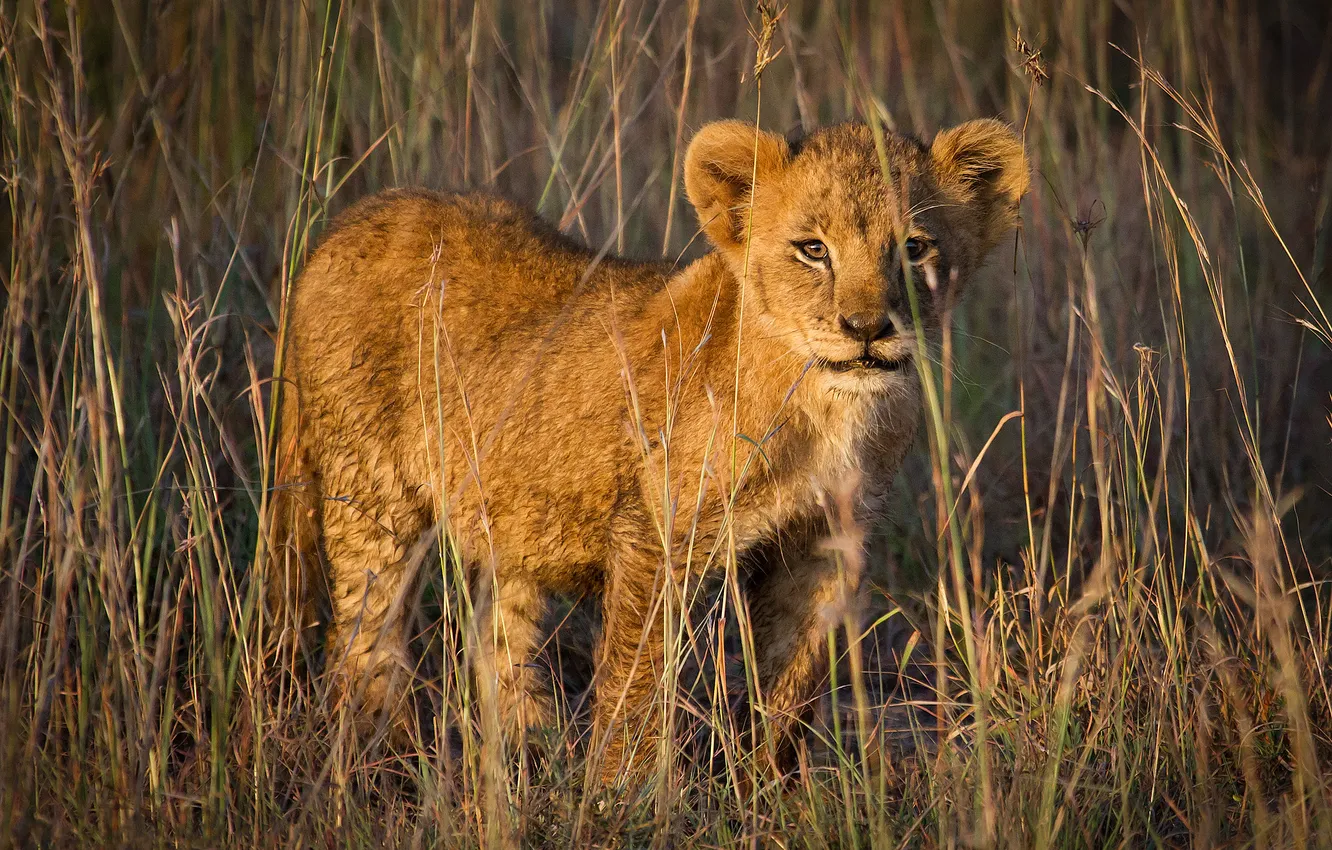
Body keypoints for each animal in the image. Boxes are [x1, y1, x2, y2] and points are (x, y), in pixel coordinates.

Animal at [267, 118, 1028, 785]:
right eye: (813, 249)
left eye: (915, 247)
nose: (869, 328)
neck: (826, 403)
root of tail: (346, 224)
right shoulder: (656, 532)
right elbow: (636, 684)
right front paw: (617, 797)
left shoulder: (824, 541)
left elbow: (789, 688)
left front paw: (770, 794)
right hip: (370, 499)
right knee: (361, 645)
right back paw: (378, 765)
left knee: (499, 641)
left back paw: (525, 755)